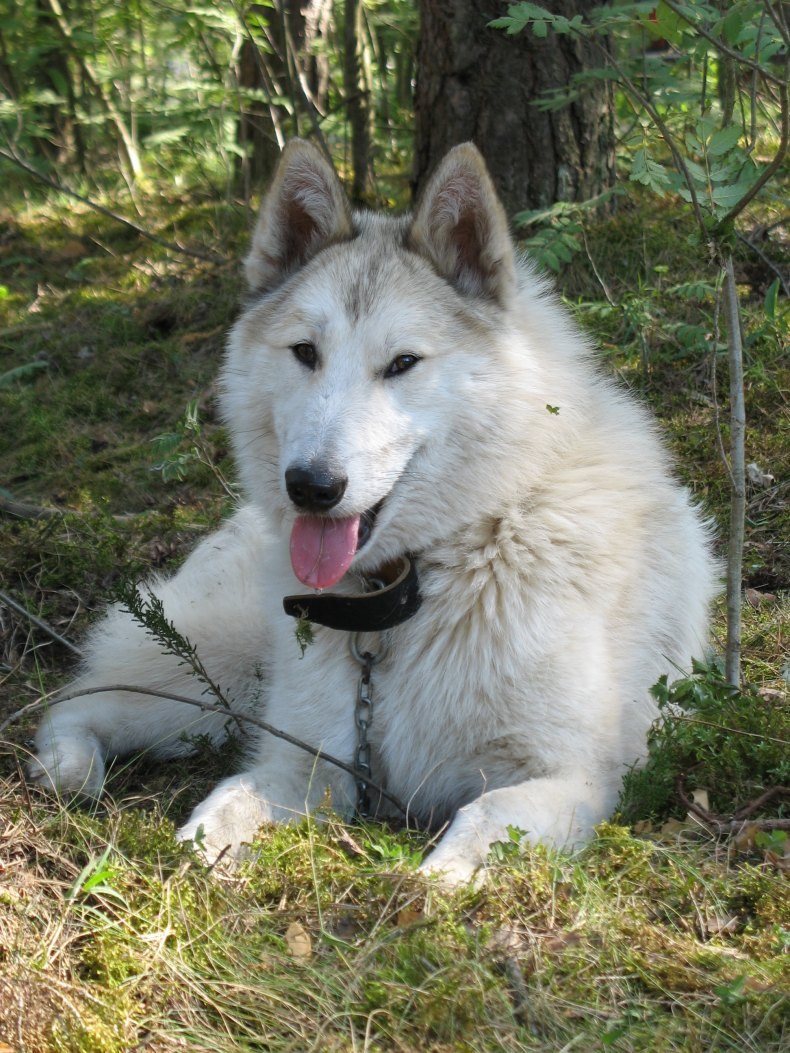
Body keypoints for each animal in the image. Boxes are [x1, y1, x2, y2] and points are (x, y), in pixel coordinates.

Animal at [30, 140, 717, 883]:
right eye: (305, 352)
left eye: (403, 363)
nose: (311, 486)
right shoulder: (307, 761)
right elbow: (227, 801)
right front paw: (196, 858)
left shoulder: (572, 777)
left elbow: (480, 823)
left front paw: (429, 888)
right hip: (208, 680)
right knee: (81, 699)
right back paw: (66, 765)